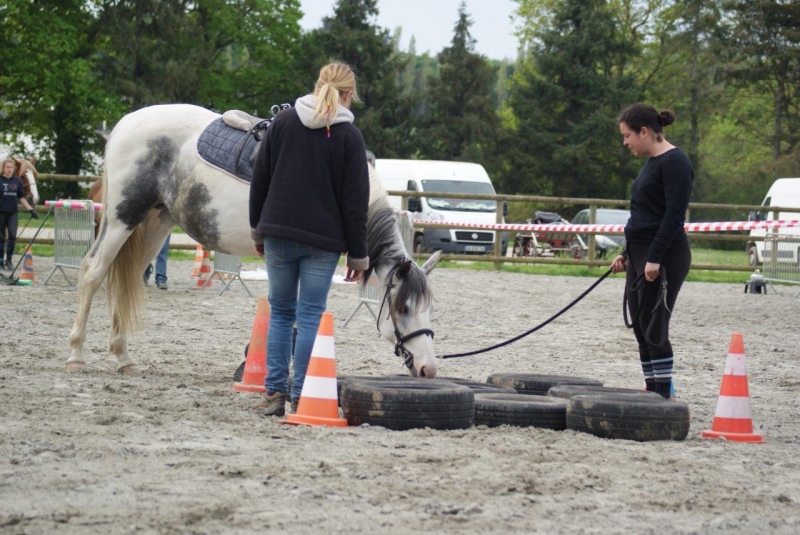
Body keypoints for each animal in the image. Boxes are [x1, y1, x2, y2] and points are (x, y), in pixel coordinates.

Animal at [67, 104, 444, 378]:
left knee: (125, 278)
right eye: (402, 308)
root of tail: (123, 124)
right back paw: (76, 354)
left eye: (430, 308)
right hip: (123, 217)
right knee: (93, 272)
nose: (428, 369)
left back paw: (123, 358)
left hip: (156, 225)